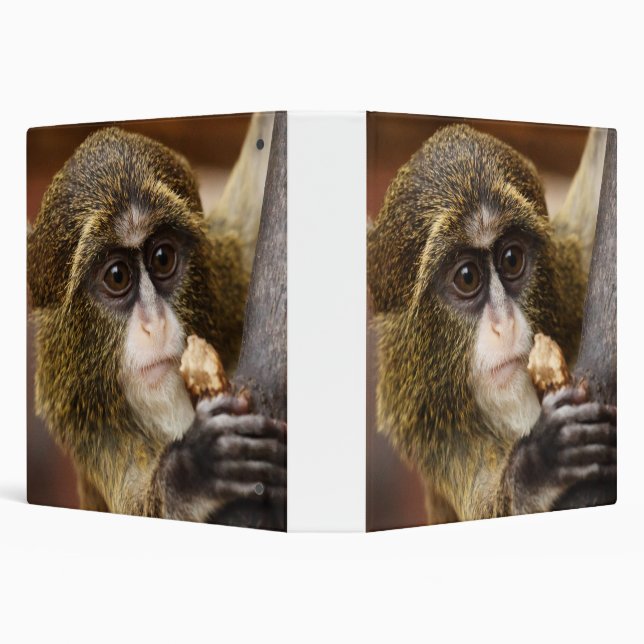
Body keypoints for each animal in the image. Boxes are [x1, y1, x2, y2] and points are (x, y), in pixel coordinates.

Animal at [27, 121, 286, 526]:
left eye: (162, 257)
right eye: (117, 276)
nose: (155, 324)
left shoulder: (230, 273)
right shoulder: (87, 424)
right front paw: (193, 469)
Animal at [367, 124, 616, 522]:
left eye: (511, 258)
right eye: (467, 277)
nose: (505, 324)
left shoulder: (574, 266)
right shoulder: (436, 435)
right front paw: (539, 463)